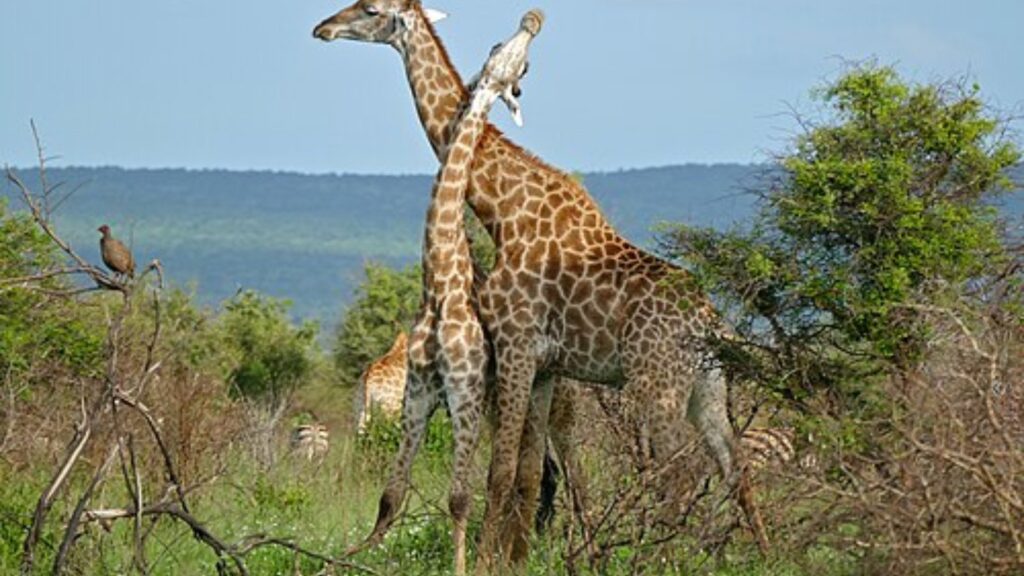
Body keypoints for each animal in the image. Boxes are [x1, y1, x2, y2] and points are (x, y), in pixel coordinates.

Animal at [312, 0, 768, 566]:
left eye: (370, 9)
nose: (323, 28)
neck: (501, 206)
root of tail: (710, 323)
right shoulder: (545, 364)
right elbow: (529, 474)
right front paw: (516, 559)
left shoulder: (515, 345)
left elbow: (501, 471)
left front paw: (485, 562)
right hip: (706, 387)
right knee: (735, 466)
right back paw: (765, 554)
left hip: (656, 385)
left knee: (679, 473)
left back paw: (663, 560)